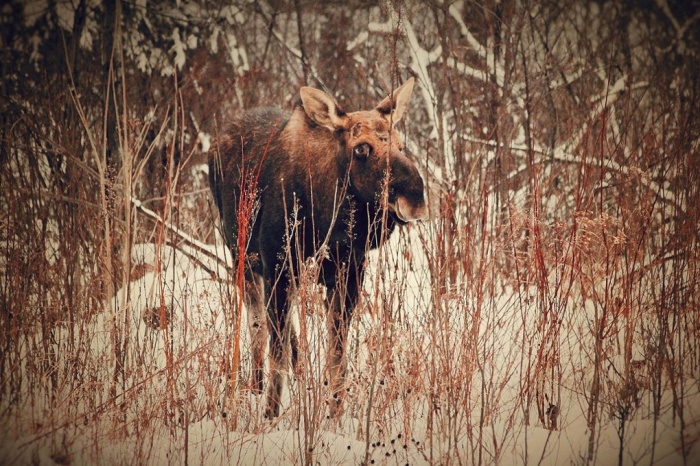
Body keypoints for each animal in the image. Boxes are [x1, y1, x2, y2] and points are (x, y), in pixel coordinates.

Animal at [208, 77, 426, 418]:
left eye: (401, 144)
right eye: (362, 148)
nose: (415, 196)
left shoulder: (348, 268)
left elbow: (336, 351)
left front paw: (334, 409)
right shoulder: (277, 262)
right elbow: (278, 350)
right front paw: (271, 412)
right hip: (242, 255)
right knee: (258, 326)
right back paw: (255, 386)